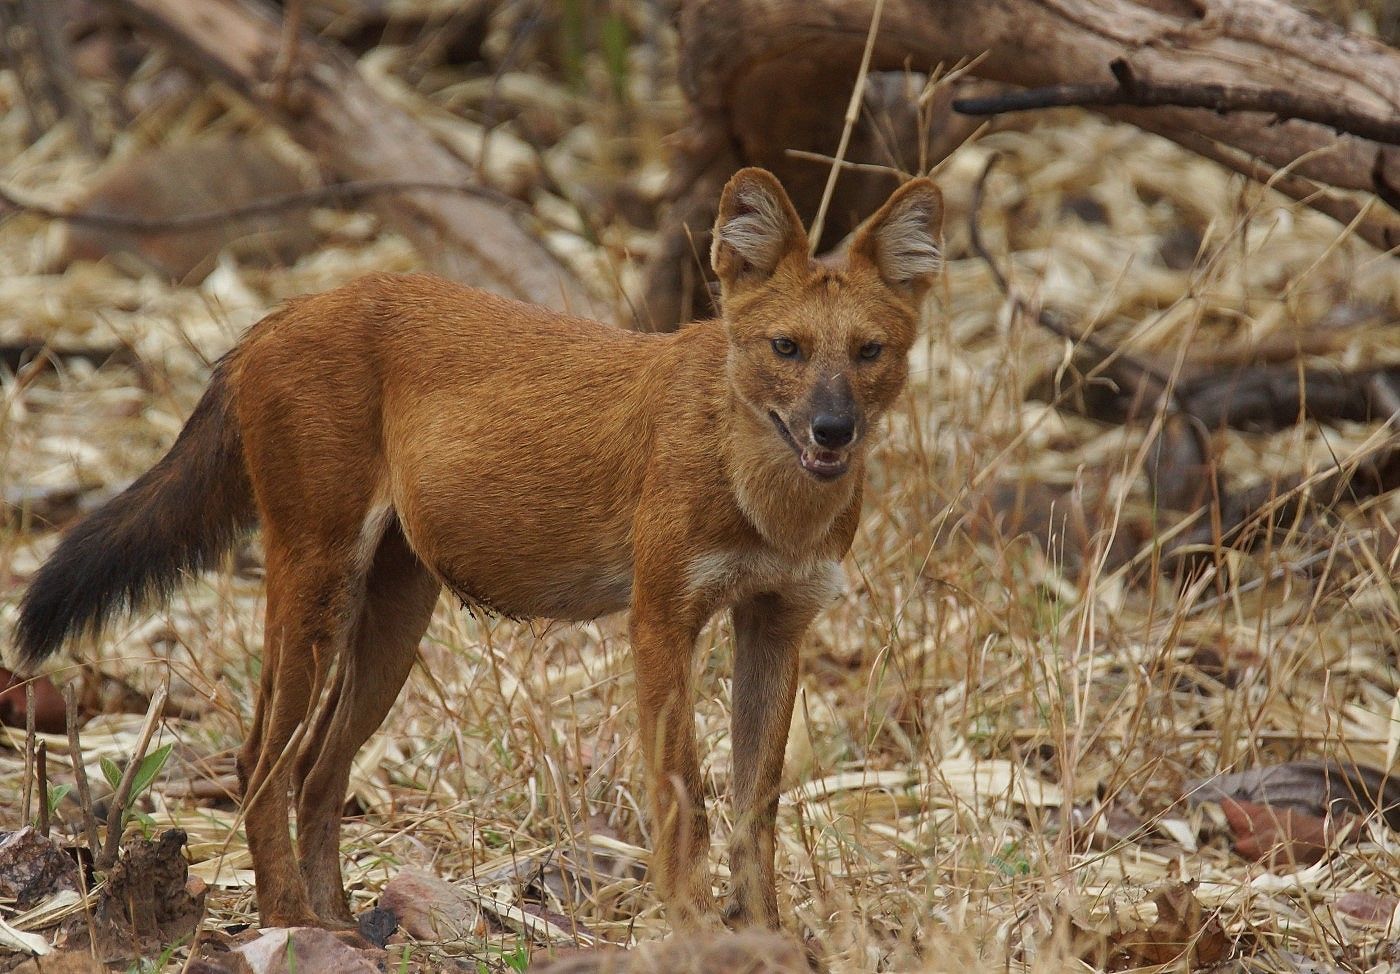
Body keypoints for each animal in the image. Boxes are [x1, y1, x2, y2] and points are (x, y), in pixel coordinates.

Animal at [10, 171, 946, 934]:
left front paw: (767, 936)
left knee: (316, 771)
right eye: (786, 348)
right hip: (316, 580)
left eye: (870, 353)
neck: (767, 500)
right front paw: (694, 932)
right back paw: (291, 924)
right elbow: (684, 799)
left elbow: (758, 804)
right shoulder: (661, 619)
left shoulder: (777, 621)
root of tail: (280, 314)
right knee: (261, 760)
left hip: (392, 621)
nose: (833, 429)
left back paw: (344, 927)